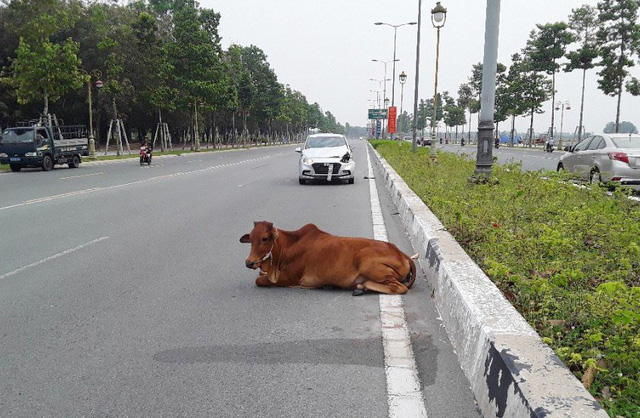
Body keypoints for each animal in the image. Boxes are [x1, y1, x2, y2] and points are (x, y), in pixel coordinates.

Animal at [239, 220, 416, 296]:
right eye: (251, 238)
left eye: (265, 238)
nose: (249, 262)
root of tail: (404, 255)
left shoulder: (290, 278)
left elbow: (260, 280)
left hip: (366, 261)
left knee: (399, 288)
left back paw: (361, 286)